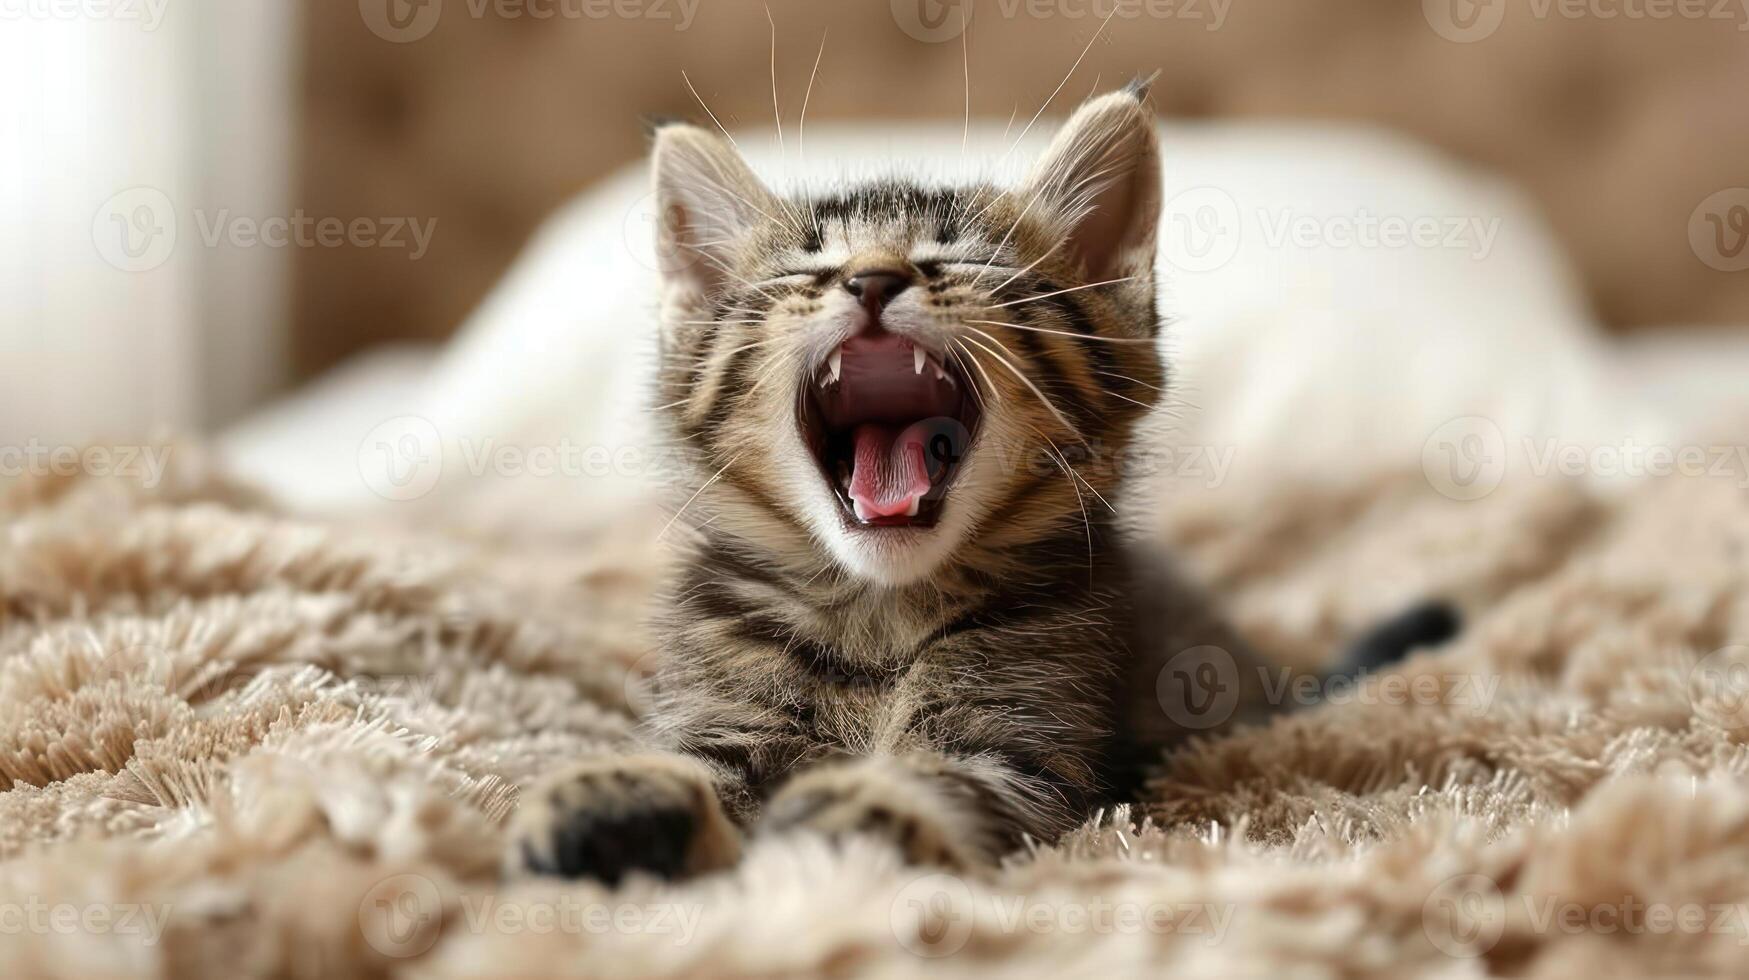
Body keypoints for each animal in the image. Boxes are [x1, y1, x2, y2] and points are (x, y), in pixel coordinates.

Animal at [507, 82, 1259, 882]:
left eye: (955, 257)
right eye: (804, 270)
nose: (873, 279)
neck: (877, 614)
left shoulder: (1031, 742)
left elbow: (947, 777)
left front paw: (859, 802)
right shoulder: (722, 708)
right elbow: (696, 760)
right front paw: (614, 786)